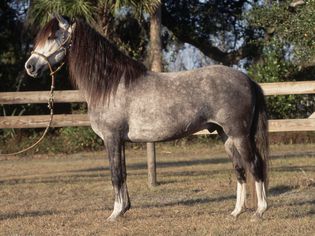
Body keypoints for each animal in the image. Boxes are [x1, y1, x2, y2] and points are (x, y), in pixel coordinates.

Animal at [25, 14, 270, 221]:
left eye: (52, 37)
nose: (30, 66)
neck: (111, 86)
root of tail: (247, 79)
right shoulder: (120, 141)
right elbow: (123, 173)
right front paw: (124, 209)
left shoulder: (111, 138)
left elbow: (115, 175)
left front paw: (114, 214)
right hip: (225, 135)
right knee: (239, 169)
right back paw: (236, 212)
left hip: (239, 135)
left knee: (255, 164)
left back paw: (259, 211)